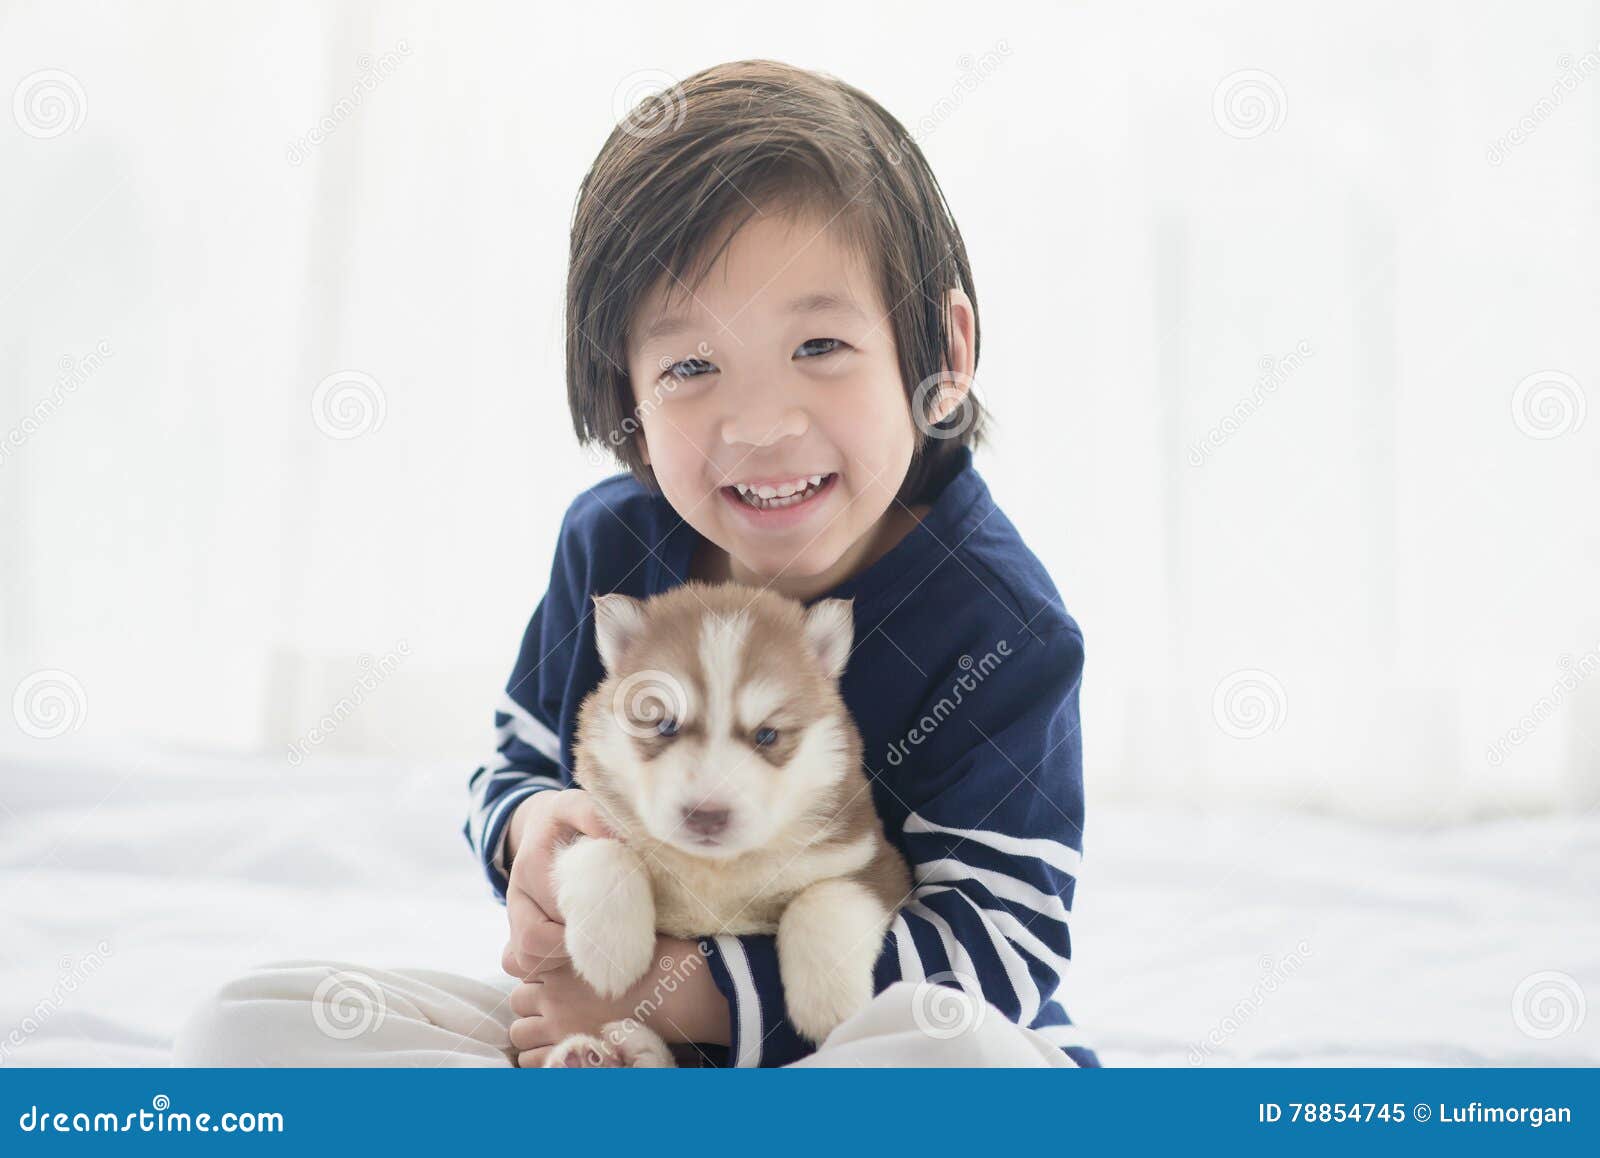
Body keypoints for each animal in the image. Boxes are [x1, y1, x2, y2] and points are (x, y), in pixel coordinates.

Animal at [544, 579, 908, 1068]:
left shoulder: (874, 859)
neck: (717, 871)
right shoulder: (588, 816)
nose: (707, 814)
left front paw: (828, 1007)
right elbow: (601, 849)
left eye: (767, 735)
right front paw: (611, 949)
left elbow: (825, 898)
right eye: (664, 725)